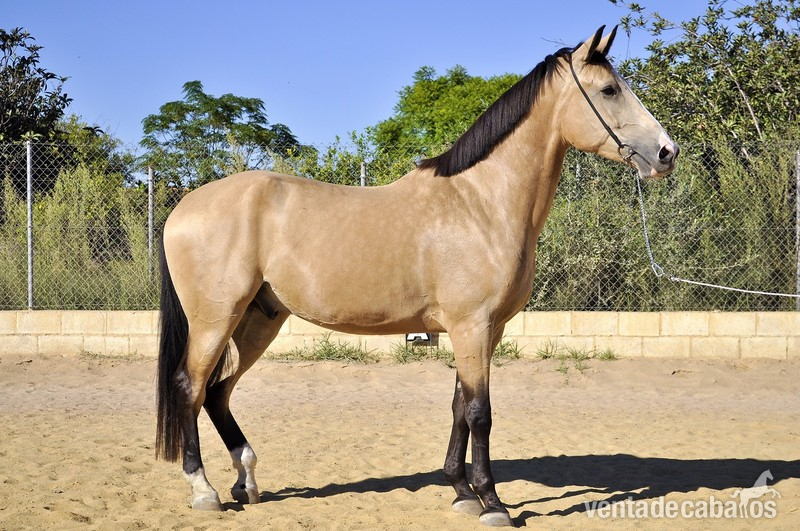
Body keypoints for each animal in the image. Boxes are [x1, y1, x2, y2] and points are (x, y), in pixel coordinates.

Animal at [155, 26, 678, 527]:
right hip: (215, 320)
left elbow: (459, 408)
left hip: (258, 319)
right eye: (609, 90)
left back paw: (245, 481)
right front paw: (492, 502)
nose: (667, 153)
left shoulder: (482, 330)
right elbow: (480, 413)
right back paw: (205, 490)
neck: (480, 203)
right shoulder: (472, 326)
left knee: (218, 392)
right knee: (190, 387)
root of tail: (182, 208)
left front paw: (461, 492)